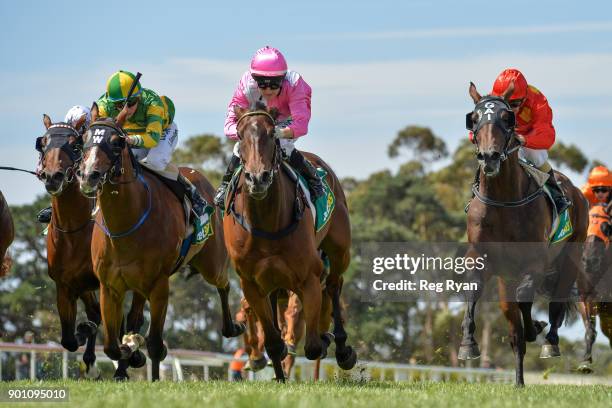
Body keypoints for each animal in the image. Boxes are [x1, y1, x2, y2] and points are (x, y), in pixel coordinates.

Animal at [37, 112, 147, 380]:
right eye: (43, 143)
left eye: (74, 145)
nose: (52, 176)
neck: (74, 229)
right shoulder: (67, 284)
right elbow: (70, 337)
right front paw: (89, 352)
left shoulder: (105, 282)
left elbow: (108, 320)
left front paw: (125, 358)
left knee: (132, 317)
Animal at [77, 103, 245, 380]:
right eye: (83, 140)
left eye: (116, 142)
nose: (89, 175)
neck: (126, 224)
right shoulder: (109, 287)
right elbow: (112, 346)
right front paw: (129, 351)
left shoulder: (159, 284)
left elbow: (155, 343)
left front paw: (146, 364)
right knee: (134, 317)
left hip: (212, 263)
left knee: (224, 285)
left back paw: (234, 326)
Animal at [222, 103, 356, 380]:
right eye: (239, 134)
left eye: (272, 133)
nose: (258, 178)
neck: (266, 222)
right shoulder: (251, 283)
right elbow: (273, 342)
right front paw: (273, 366)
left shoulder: (308, 279)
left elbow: (312, 345)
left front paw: (323, 341)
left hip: (339, 251)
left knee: (334, 285)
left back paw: (341, 348)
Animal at [462, 83, 592, 386]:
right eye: (474, 118)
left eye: (507, 118)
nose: (489, 157)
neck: (503, 201)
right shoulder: (481, 258)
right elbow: (474, 290)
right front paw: (468, 345)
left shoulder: (534, 262)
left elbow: (526, 297)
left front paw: (537, 328)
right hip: (505, 283)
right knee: (515, 333)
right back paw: (519, 381)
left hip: (571, 256)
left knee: (556, 302)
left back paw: (550, 340)